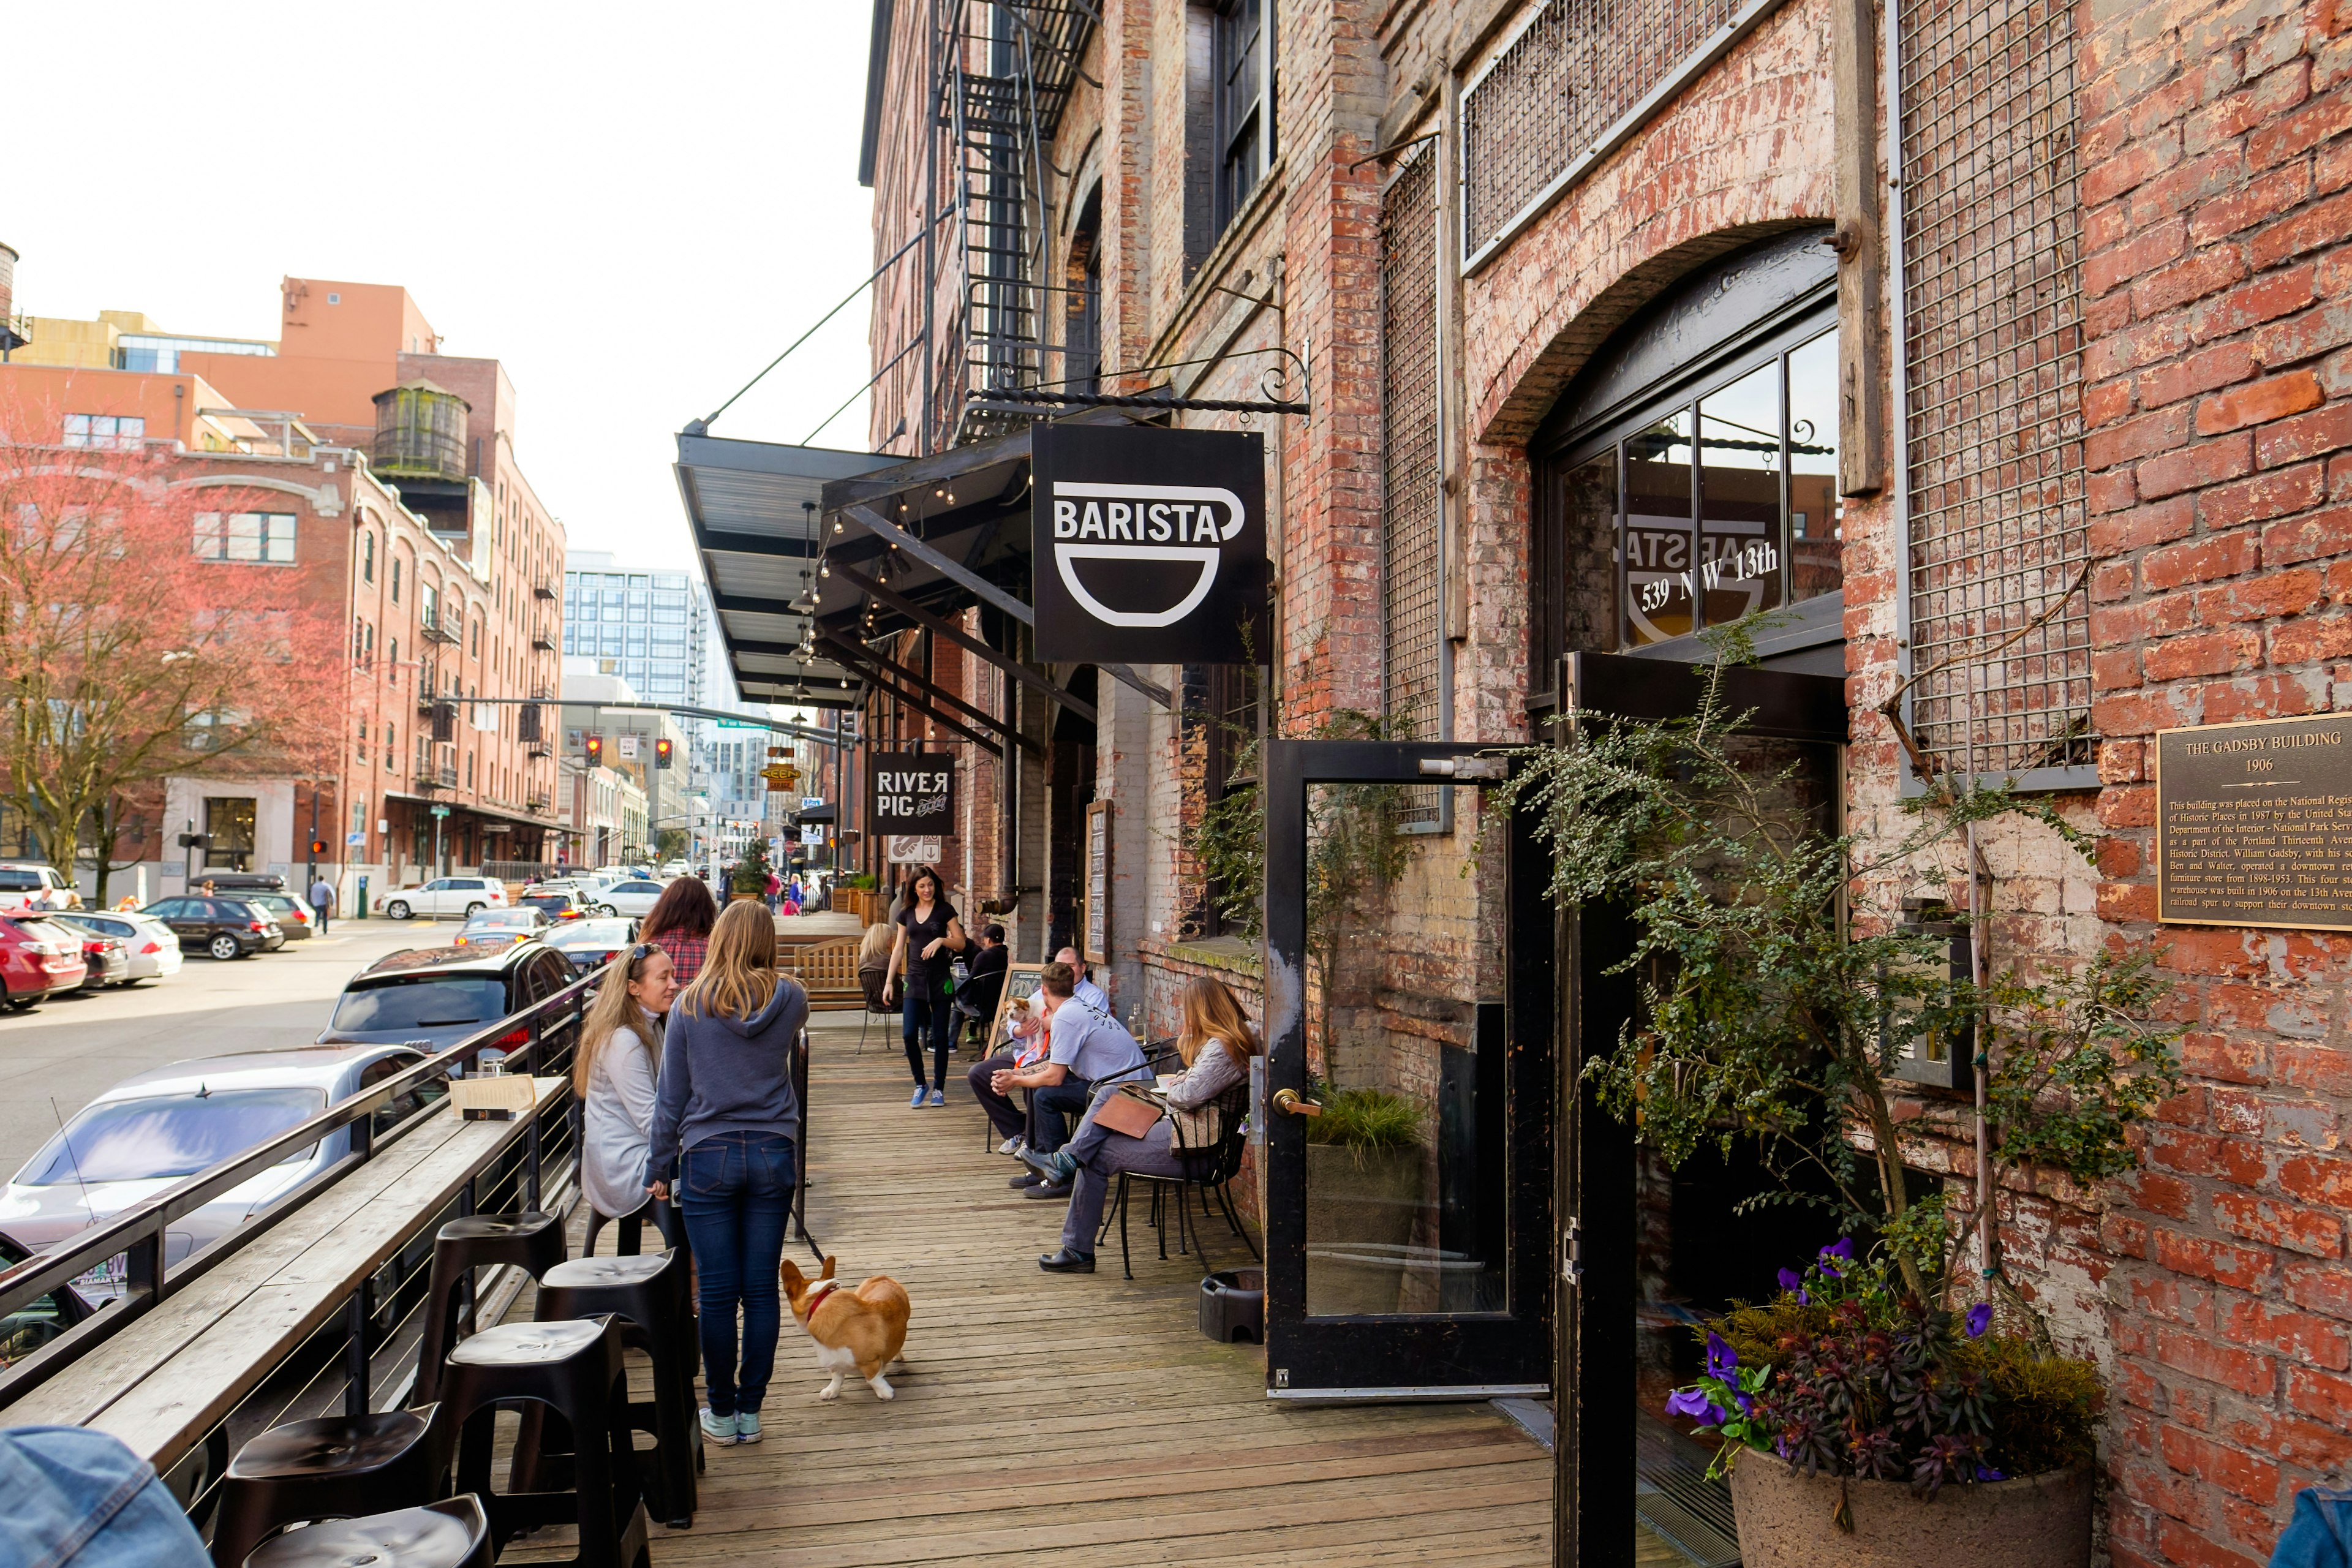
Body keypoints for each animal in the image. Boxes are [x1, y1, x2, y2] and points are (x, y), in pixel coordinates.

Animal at [780, 1260, 908, 1401]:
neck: (820, 1302)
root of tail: (883, 1277)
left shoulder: (871, 1362)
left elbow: (873, 1379)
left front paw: (885, 1393)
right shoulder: (835, 1360)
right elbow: (837, 1377)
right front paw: (831, 1391)